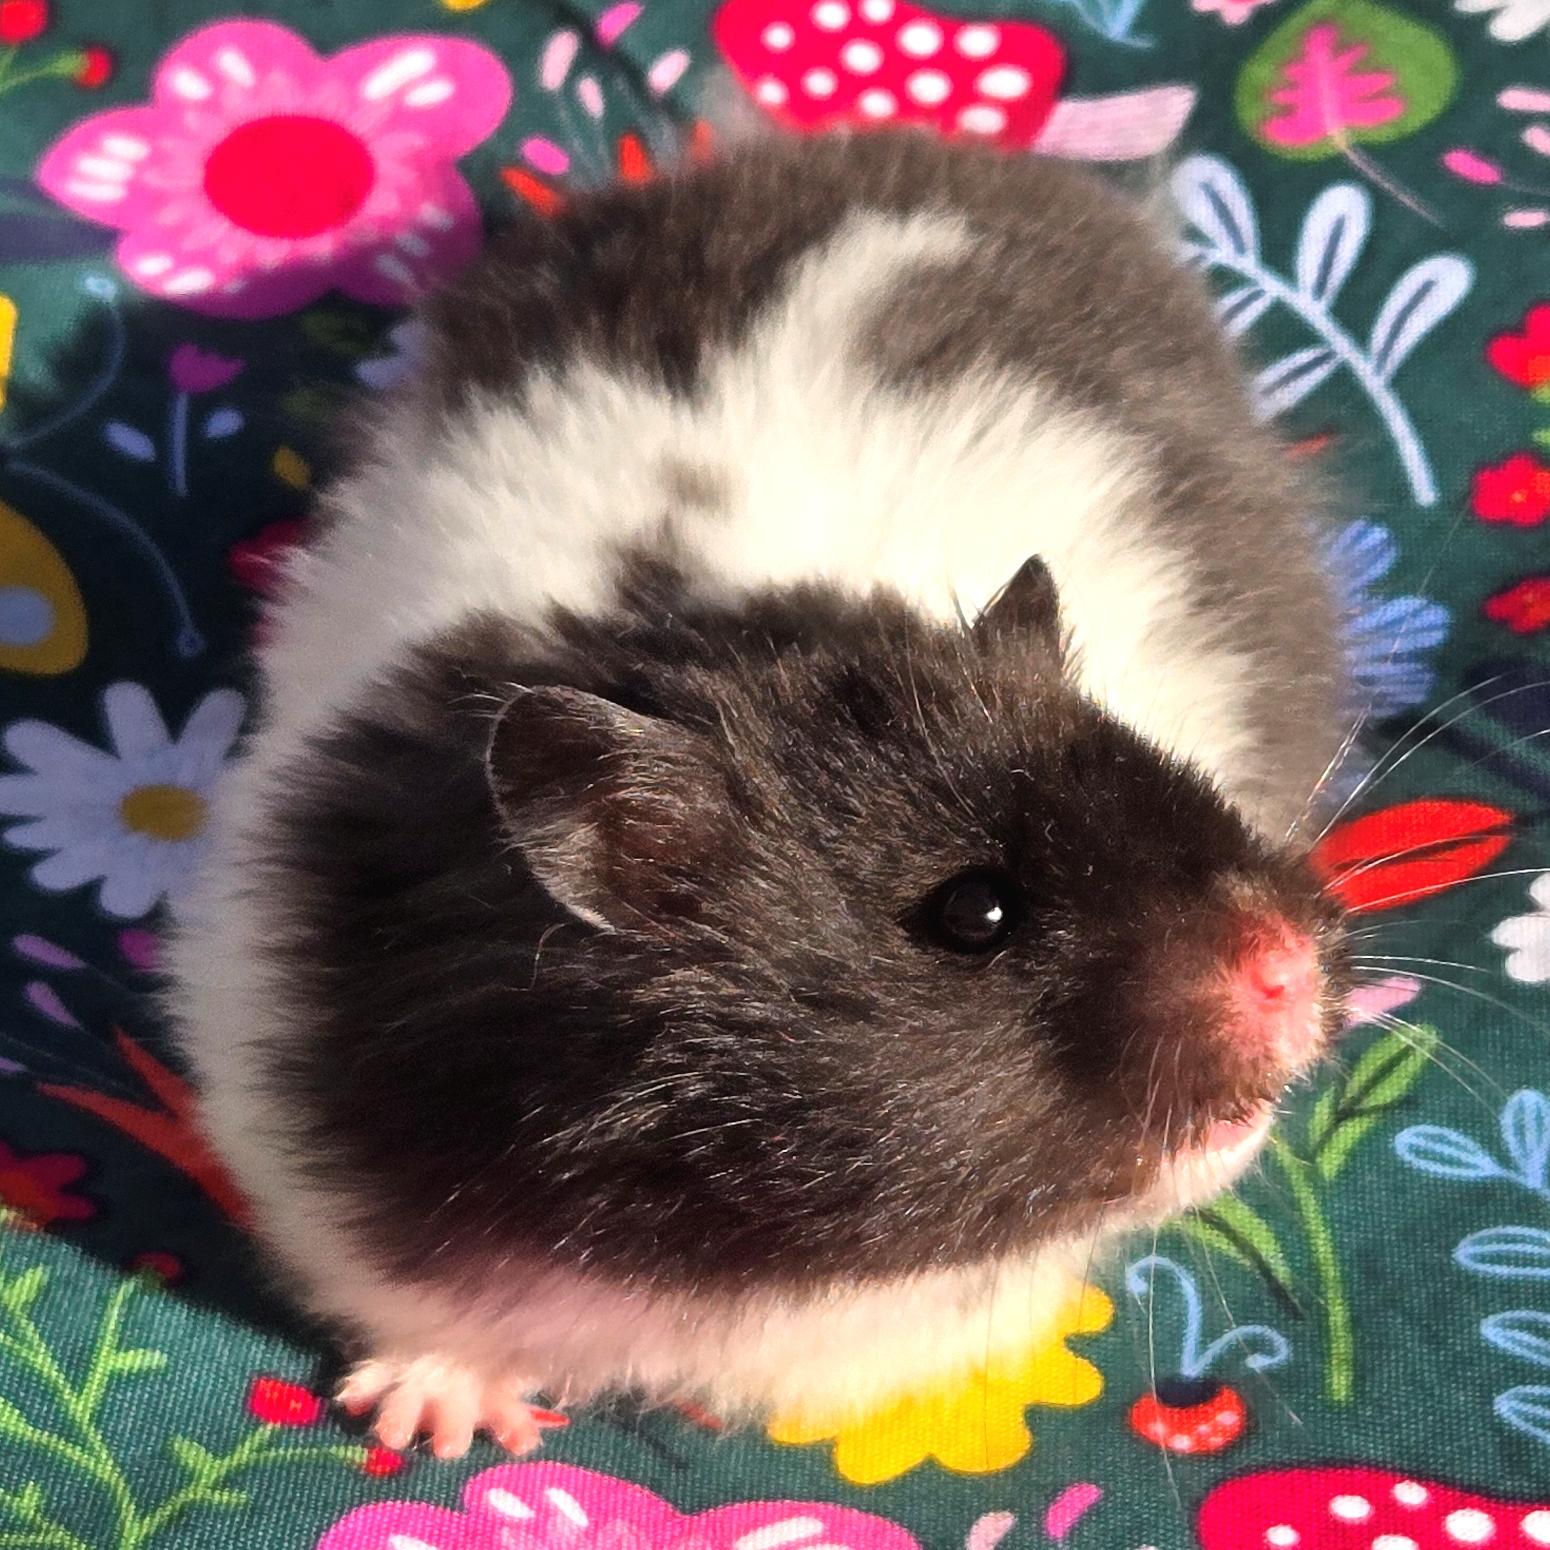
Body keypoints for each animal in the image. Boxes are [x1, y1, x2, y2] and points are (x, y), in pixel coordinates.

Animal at [166, 130, 1352, 1459]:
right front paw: (441, 1425)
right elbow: (426, 1321)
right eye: (974, 911)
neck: (735, 1226)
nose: (1290, 969)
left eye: (1166, 770)